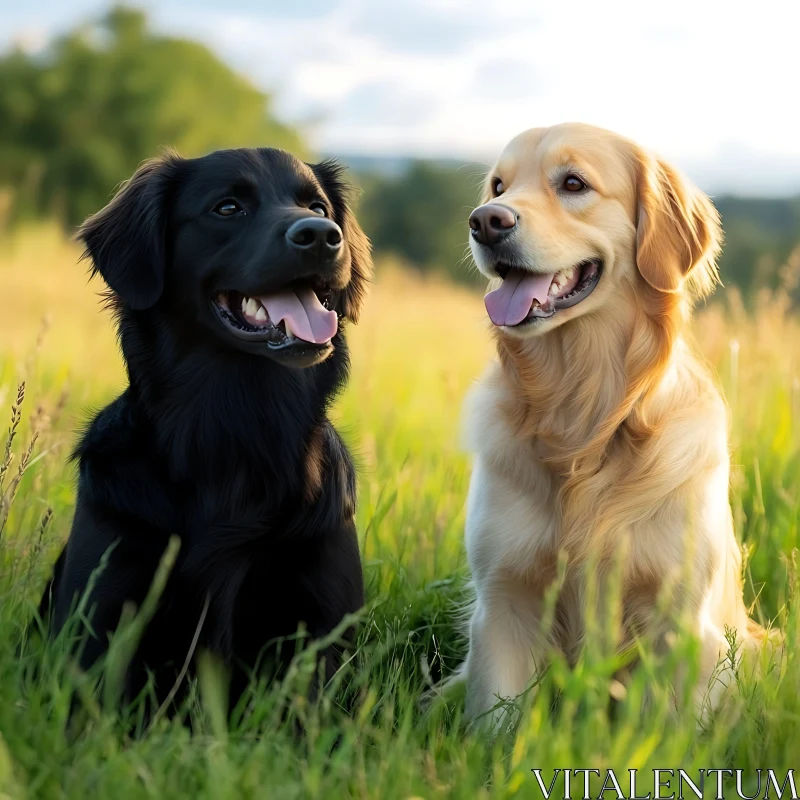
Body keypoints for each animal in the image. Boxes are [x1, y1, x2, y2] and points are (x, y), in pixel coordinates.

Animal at [41, 148, 372, 712]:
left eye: (318, 206)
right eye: (228, 208)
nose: (323, 235)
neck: (235, 432)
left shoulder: (322, 633)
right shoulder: (98, 620)